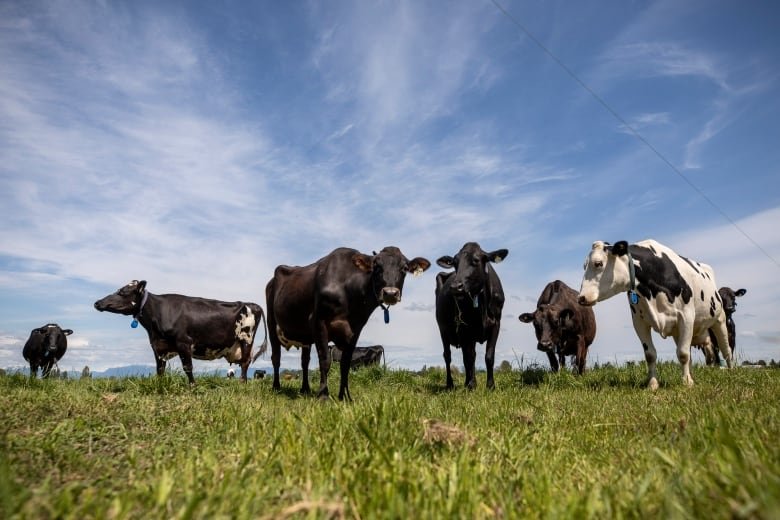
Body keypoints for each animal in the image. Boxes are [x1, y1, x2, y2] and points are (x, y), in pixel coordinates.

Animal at [92, 280, 266, 386]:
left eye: (122, 292)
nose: (97, 303)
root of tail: (253, 304)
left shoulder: (184, 342)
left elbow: (187, 367)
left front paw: (193, 387)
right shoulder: (158, 346)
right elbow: (160, 369)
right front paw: (160, 385)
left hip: (246, 339)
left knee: (245, 363)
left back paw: (242, 384)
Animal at [266, 246, 430, 400]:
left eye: (404, 268)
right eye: (376, 266)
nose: (390, 293)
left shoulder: (356, 329)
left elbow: (345, 364)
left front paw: (344, 396)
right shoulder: (319, 322)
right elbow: (325, 361)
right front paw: (323, 395)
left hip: (305, 336)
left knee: (304, 361)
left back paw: (305, 389)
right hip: (271, 323)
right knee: (276, 358)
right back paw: (276, 387)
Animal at [432, 244, 506, 390]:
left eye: (476, 260)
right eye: (454, 263)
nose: (455, 287)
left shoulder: (496, 324)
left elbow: (489, 356)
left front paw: (490, 386)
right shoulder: (464, 326)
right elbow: (469, 357)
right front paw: (472, 385)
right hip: (443, 329)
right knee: (448, 356)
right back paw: (450, 384)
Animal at [576, 238, 736, 388]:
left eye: (598, 263)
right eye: (584, 266)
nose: (581, 298)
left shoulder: (686, 317)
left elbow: (683, 353)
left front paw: (686, 382)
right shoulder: (639, 322)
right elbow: (651, 355)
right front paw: (653, 383)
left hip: (720, 320)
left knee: (726, 349)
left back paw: (730, 370)